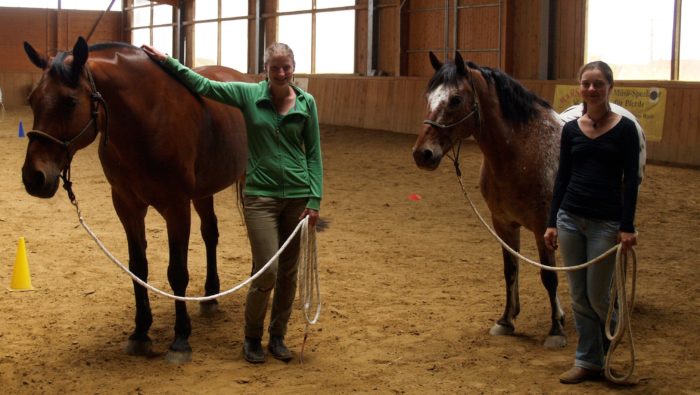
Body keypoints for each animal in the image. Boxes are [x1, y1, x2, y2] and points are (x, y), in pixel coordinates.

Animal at [21, 38, 249, 366]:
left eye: (70, 102)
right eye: (32, 100)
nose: (34, 177)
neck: (147, 120)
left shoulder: (176, 207)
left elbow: (177, 272)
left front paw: (181, 338)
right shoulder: (127, 206)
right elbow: (138, 268)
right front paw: (141, 333)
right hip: (203, 192)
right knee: (210, 234)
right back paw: (210, 295)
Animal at [412, 51, 568, 348]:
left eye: (455, 99)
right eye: (427, 98)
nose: (422, 154)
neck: (520, 152)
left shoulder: (542, 226)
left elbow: (548, 275)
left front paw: (556, 330)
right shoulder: (503, 223)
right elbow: (510, 270)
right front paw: (506, 320)